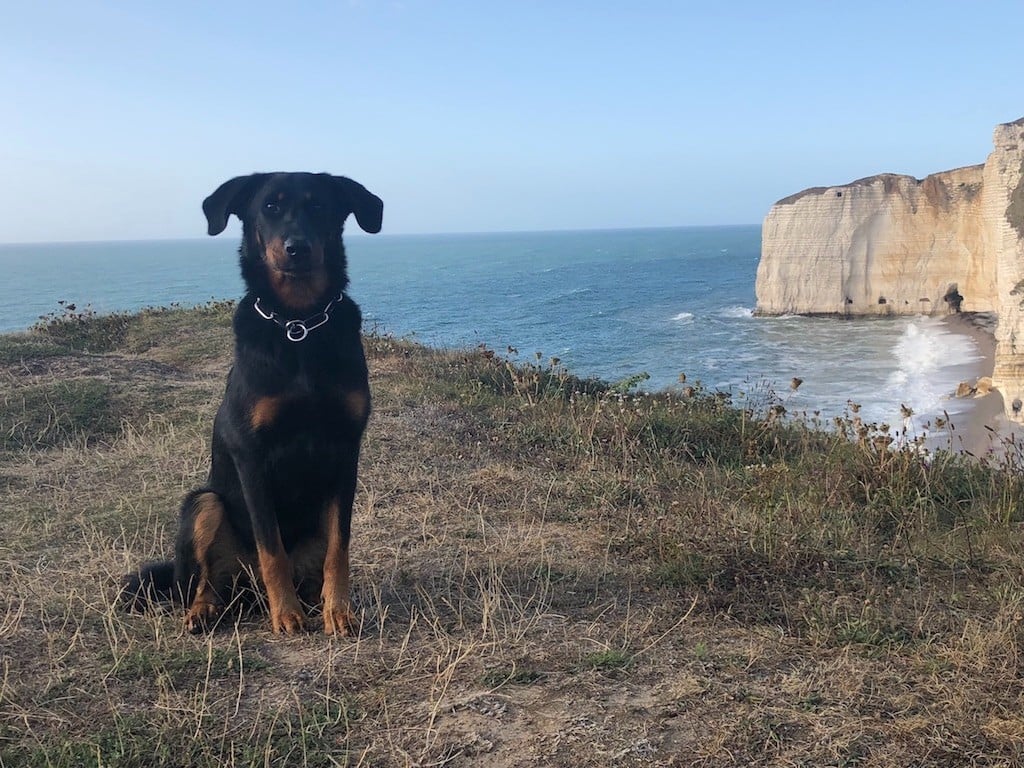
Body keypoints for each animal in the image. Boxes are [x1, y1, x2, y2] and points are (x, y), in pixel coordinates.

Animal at [122, 174, 385, 638]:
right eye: (270, 207)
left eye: (320, 207)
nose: (297, 248)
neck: (299, 324)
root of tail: (247, 591)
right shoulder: (251, 454)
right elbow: (270, 546)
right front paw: (287, 614)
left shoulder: (346, 449)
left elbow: (340, 547)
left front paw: (339, 611)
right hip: (203, 504)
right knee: (205, 582)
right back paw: (206, 610)